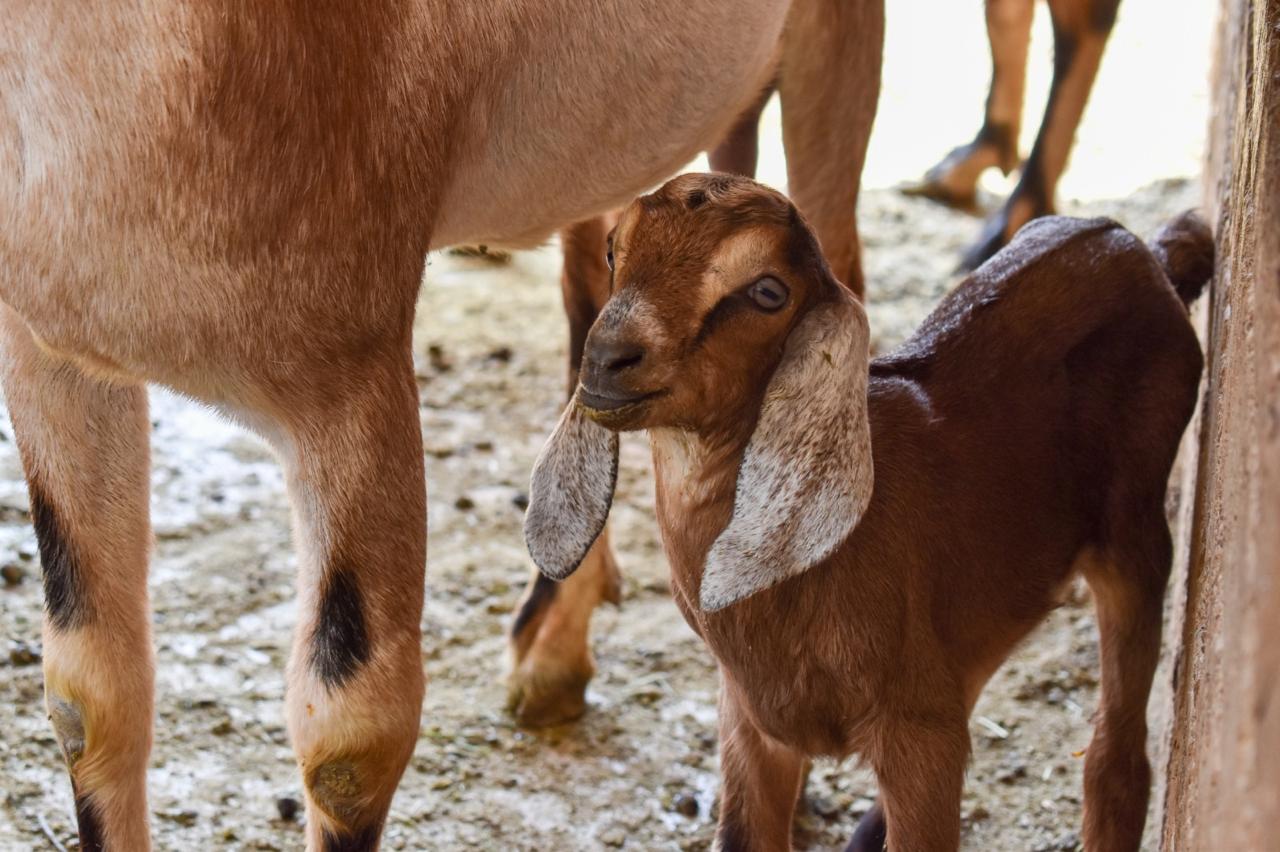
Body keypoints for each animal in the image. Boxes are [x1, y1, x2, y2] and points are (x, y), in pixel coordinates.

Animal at [0, 3, 882, 848]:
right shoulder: (54, 360)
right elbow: (90, 692)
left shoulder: (350, 371)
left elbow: (352, 736)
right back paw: (554, 656)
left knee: (831, 267)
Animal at [525, 173, 1209, 850]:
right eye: (613, 249)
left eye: (767, 291)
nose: (607, 357)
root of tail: (1141, 248)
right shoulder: (752, 722)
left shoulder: (917, 739)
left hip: (1135, 535)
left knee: (1117, 759)